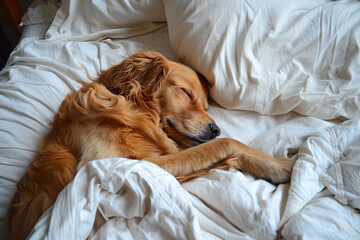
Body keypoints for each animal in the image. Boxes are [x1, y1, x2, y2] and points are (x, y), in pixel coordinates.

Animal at [6, 50, 296, 238]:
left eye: (205, 106)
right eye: (186, 93)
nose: (215, 128)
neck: (134, 109)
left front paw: (272, 166)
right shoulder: (125, 166)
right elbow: (227, 143)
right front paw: (285, 166)